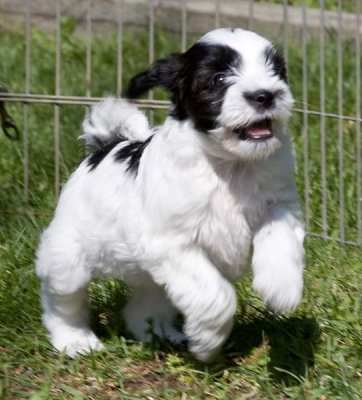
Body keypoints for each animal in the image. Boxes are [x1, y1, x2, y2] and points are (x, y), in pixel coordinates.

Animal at [36, 26, 304, 360]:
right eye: (218, 78)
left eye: (276, 70)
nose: (265, 95)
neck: (230, 165)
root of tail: (105, 146)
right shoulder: (172, 244)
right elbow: (214, 294)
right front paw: (208, 342)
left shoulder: (280, 205)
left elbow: (279, 236)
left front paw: (282, 287)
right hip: (68, 257)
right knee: (61, 300)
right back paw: (75, 339)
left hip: (151, 276)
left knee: (144, 305)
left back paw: (159, 332)